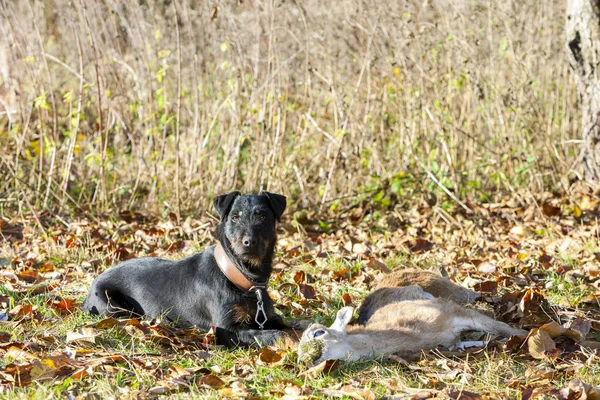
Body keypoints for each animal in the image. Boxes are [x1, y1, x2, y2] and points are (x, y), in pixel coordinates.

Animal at [81, 192, 292, 346]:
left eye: (263, 216)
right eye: (234, 217)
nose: (249, 242)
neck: (241, 277)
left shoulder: (268, 318)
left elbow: (289, 329)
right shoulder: (227, 329)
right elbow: (276, 335)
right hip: (113, 307)